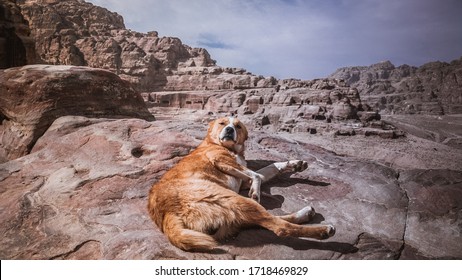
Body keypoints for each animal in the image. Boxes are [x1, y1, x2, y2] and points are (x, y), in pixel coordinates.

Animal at [148, 116, 336, 252]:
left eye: (238, 126)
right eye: (222, 123)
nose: (229, 129)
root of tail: (166, 214)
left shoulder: (242, 179)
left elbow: (269, 168)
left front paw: (295, 164)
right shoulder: (220, 160)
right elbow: (256, 175)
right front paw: (256, 191)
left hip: (231, 210)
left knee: (265, 221)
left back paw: (306, 214)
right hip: (231, 198)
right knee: (279, 226)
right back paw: (324, 230)